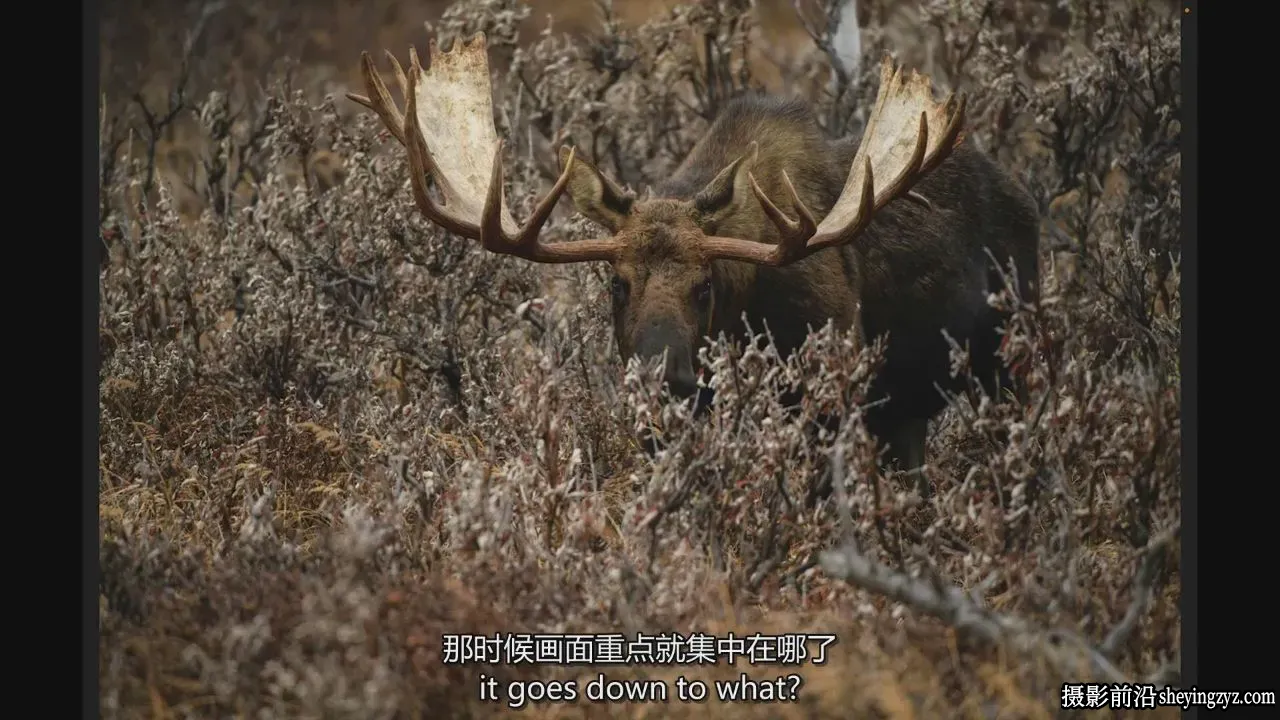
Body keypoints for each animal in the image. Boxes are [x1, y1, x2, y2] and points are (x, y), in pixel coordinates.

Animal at [347, 32, 1041, 497]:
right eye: (616, 283)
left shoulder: (830, 396)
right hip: (910, 411)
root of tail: (1025, 197)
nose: (667, 377)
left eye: (705, 285)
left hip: (1012, 362)